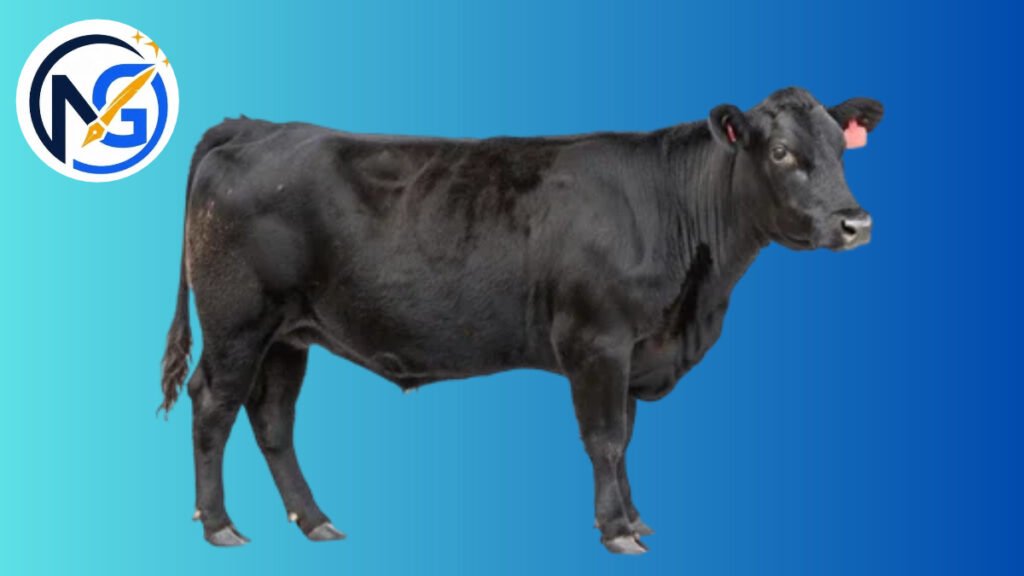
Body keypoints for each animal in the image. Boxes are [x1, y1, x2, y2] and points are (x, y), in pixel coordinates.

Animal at [160, 87, 883, 554]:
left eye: (841, 150)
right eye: (781, 152)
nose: (856, 223)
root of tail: (257, 126)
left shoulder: (634, 349)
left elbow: (627, 437)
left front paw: (634, 517)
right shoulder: (597, 340)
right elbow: (605, 439)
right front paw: (617, 532)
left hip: (290, 334)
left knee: (272, 419)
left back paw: (313, 520)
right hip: (238, 323)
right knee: (212, 406)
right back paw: (218, 524)